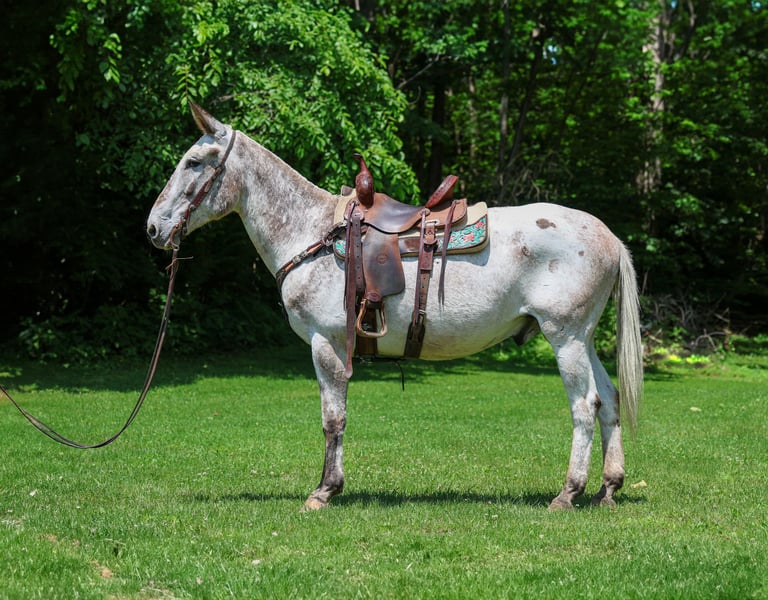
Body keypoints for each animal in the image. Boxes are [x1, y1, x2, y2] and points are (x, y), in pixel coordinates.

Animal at [146, 103, 643, 511]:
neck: (311, 233)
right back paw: (608, 488)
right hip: (583, 339)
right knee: (609, 400)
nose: (153, 228)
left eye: (193, 162)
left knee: (585, 405)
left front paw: (325, 491)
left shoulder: (326, 343)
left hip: (565, 337)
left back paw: (569, 493)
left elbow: (333, 418)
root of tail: (608, 236)